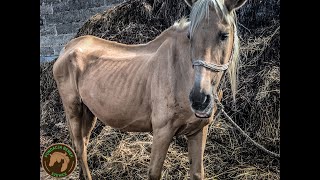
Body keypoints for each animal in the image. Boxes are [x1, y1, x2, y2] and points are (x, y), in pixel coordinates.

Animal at [52, 0, 248, 179]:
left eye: (224, 35)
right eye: (190, 36)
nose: (199, 99)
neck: (181, 74)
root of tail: (67, 48)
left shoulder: (198, 131)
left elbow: (197, 173)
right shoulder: (162, 132)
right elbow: (154, 173)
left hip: (89, 111)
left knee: (83, 144)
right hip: (73, 109)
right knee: (79, 147)